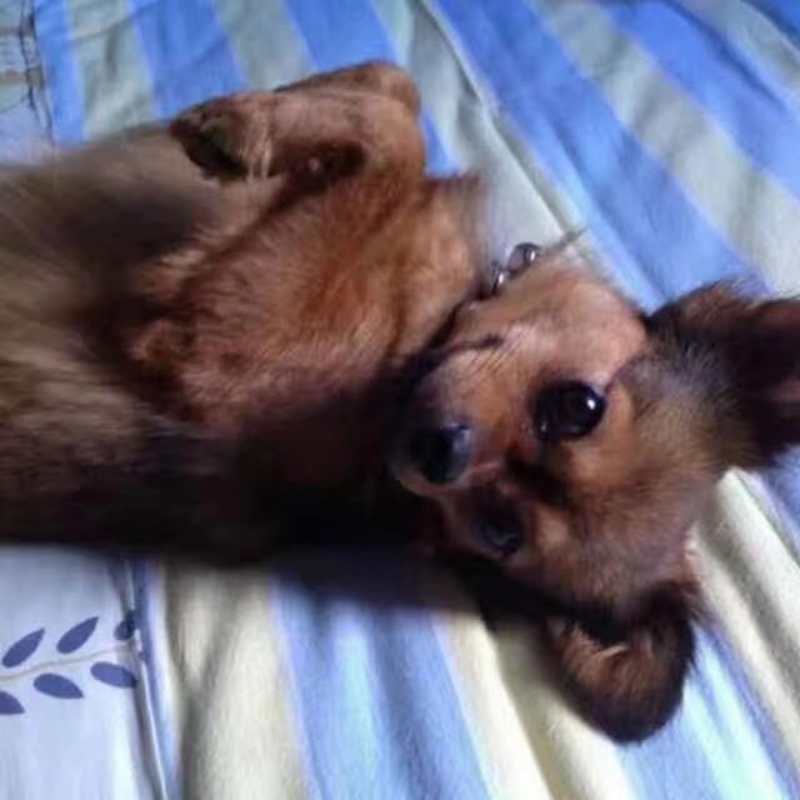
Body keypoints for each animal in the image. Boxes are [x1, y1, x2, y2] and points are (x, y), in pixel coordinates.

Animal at [0, 62, 798, 742]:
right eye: (578, 408)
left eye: (502, 531)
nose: (439, 453)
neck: (418, 342)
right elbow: (397, 90)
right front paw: (279, 110)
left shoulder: (208, 338)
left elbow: (395, 146)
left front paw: (240, 130)